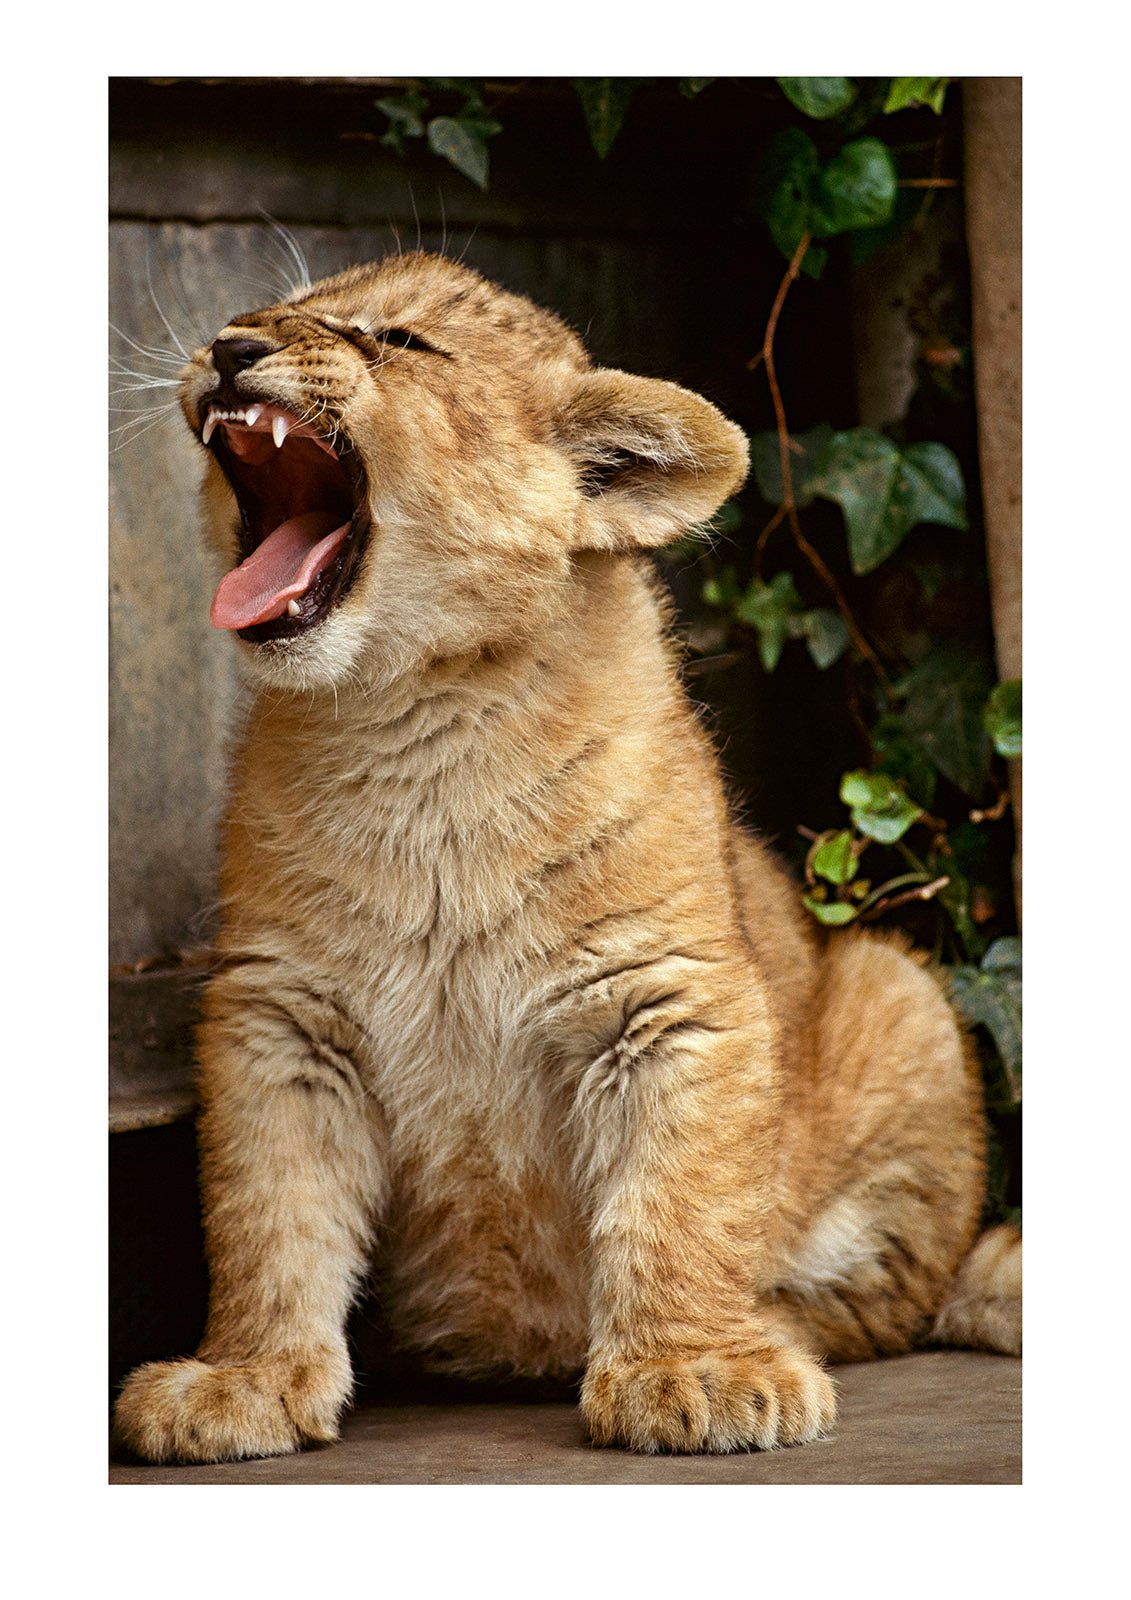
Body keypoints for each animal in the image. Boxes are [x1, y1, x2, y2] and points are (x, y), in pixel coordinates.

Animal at [113, 251, 1020, 1464]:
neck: (415, 725)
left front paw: (695, 1366)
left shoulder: (670, 995)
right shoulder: (280, 1017)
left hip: (902, 994)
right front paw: (243, 1377)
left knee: (884, 1298)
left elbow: (680, 1198)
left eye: (399, 339)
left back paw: (771, 1329)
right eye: (268, 312)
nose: (229, 346)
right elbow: (270, 1210)